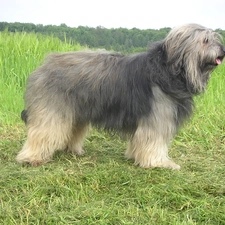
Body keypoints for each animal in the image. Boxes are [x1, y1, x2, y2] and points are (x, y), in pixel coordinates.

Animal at [16, 23, 225, 170]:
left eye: (215, 38)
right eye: (205, 40)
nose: (223, 52)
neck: (167, 69)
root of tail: (44, 66)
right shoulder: (157, 117)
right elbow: (154, 141)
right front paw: (159, 163)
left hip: (76, 110)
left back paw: (72, 150)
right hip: (52, 109)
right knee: (42, 132)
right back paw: (31, 158)